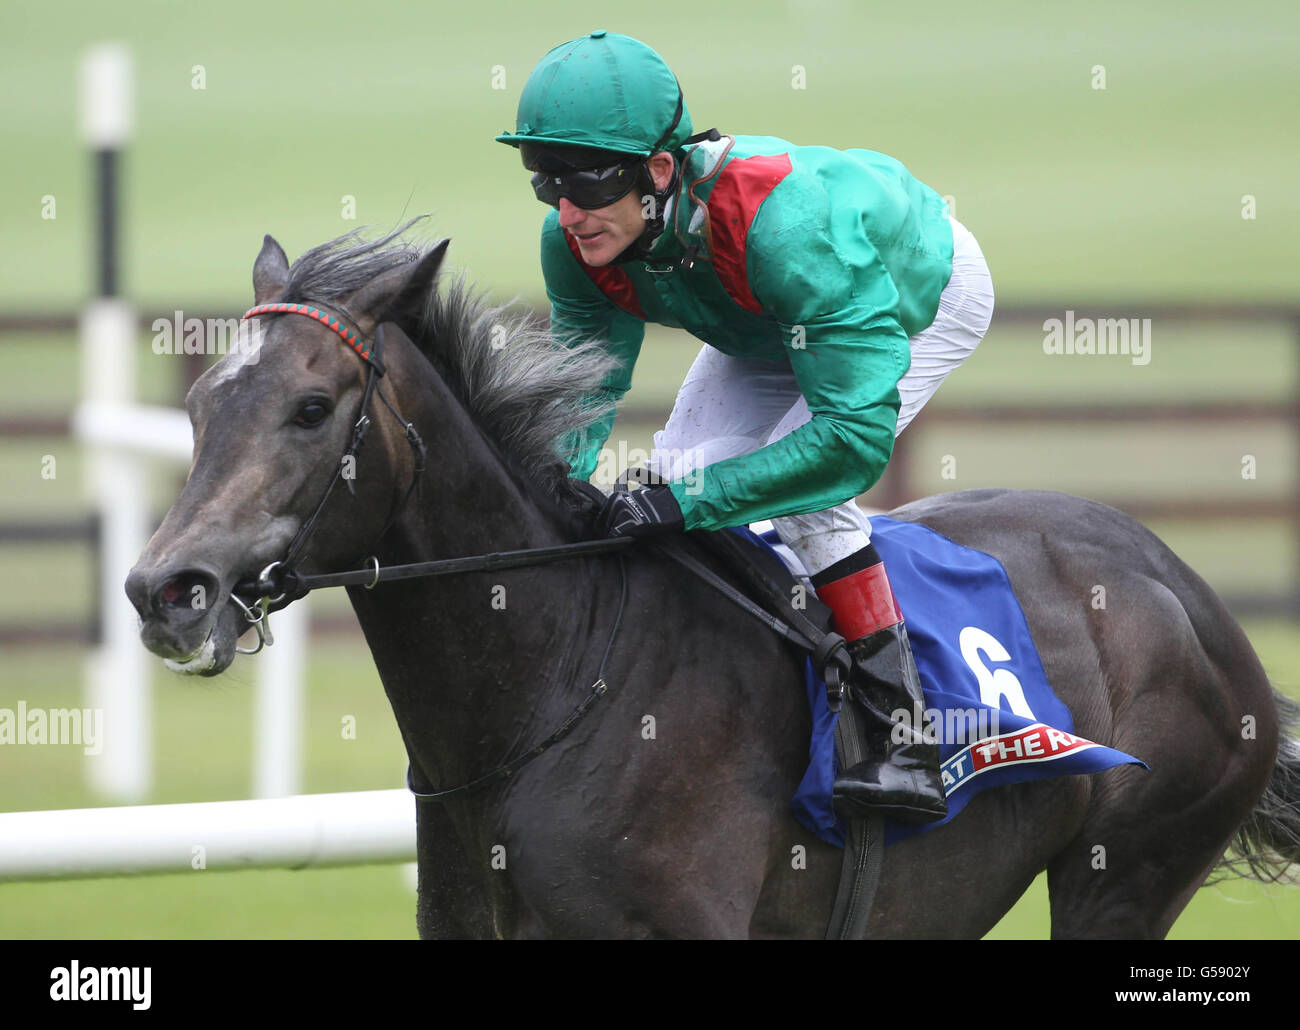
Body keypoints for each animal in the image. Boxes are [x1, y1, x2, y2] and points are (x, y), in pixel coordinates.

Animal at [126, 228, 1300, 936]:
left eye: (312, 408)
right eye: (199, 404)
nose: (165, 591)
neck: (556, 685)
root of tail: (1184, 587)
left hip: (1127, 873)